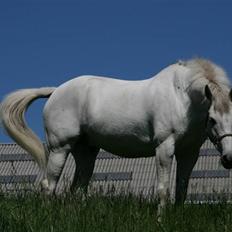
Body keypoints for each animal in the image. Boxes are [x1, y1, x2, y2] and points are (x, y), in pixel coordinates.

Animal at [0, 59, 232, 208]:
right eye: (212, 119)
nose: (229, 158)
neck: (181, 97)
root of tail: (55, 90)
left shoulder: (189, 152)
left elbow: (181, 190)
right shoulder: (164, 147)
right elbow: (163, 188)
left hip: (86, 152)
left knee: (78, 188)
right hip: (60, 148)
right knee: (49, 185)